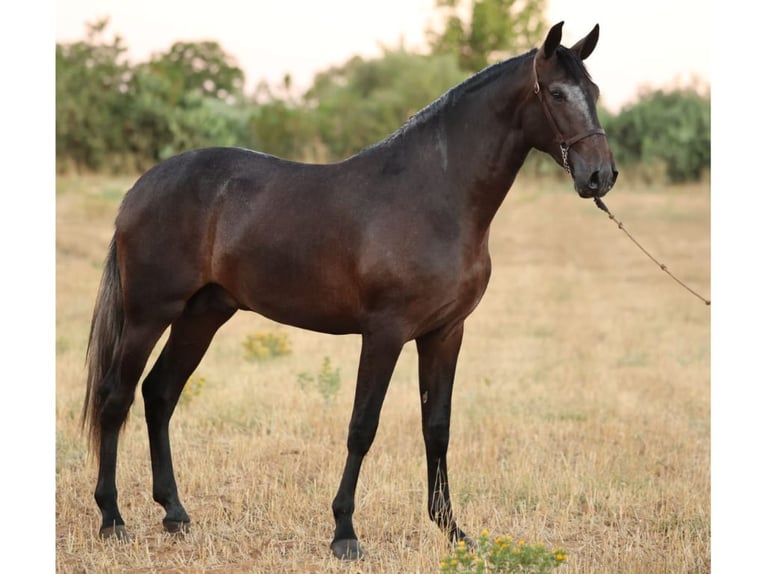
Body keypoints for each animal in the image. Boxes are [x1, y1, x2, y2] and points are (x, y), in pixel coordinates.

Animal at [82, 22, 616, 564]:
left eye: (593, 91)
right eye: (556, 93)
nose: (600, 175)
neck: (435, 197)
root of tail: (140, 188)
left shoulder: (445, 333)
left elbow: (437, 427)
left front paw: (451, 529)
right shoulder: (385, 333)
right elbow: (363, 426)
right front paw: (344, 532)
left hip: (202, 314)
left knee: (159, 393)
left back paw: (174, 512)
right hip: (149, 314)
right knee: (115, 397)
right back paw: (111, 518)